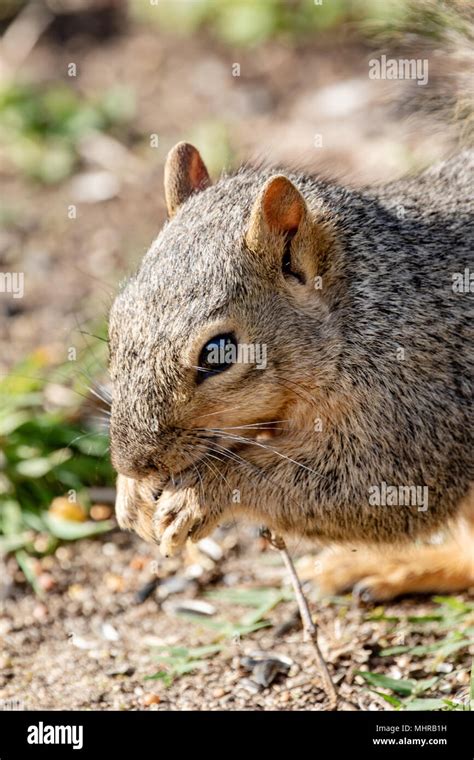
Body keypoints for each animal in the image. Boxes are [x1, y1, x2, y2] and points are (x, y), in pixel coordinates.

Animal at [109, 138, 472, 600]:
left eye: (218, 353)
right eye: (115, 322)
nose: (133, 464)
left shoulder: (417, 405)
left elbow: (376, 489)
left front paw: (200, 495)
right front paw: (131, 494)